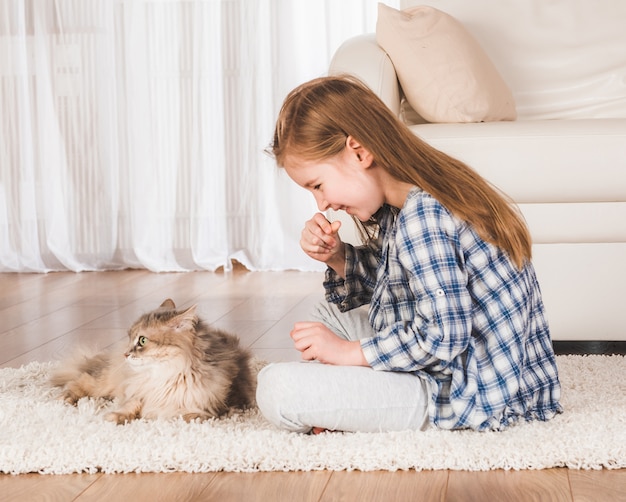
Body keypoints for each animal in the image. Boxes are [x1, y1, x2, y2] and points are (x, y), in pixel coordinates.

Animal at [47, 298, 255, 424]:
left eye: (142, 341)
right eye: (130, 337)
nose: (126, 354)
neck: (166, 377)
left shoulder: (205, 412)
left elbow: (170, 416)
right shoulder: (138, 393)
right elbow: (130, 406)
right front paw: (115, 416)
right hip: (107, 381)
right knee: (80, 382)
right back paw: (62, 400)